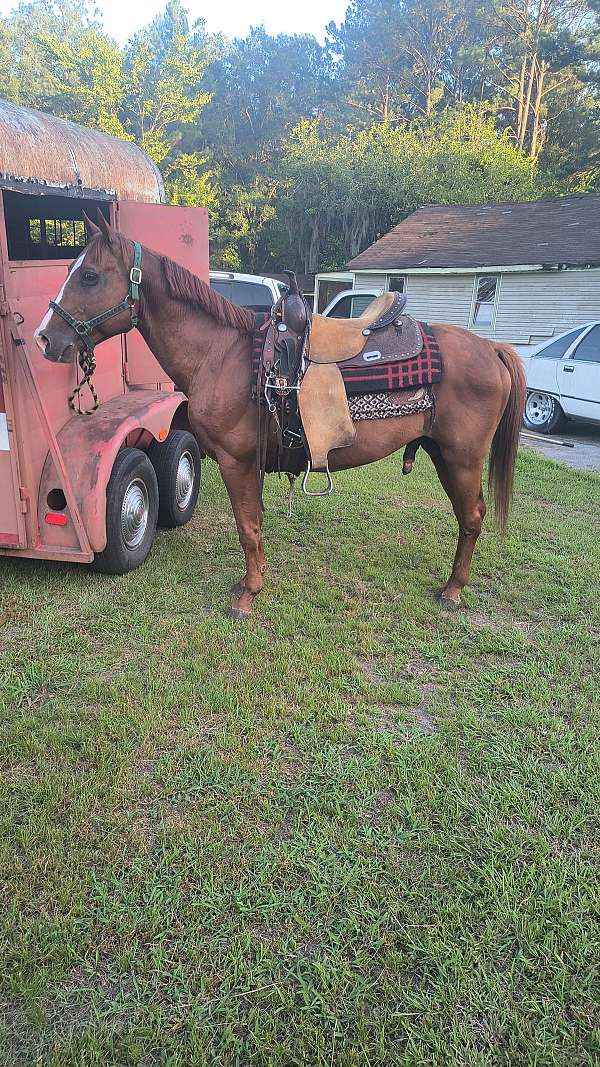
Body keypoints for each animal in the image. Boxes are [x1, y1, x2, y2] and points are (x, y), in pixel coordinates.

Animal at [35, 214, 526, 619]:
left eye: (90, 276)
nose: (44, 338)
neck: (223, 355)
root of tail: (491, 348)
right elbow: (254, 525)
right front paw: (255, 581)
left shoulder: (235, 463)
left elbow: (247, 528)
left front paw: (248, 595)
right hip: (443, 454)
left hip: (461, 458)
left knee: (472, 517)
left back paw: (453, 590)